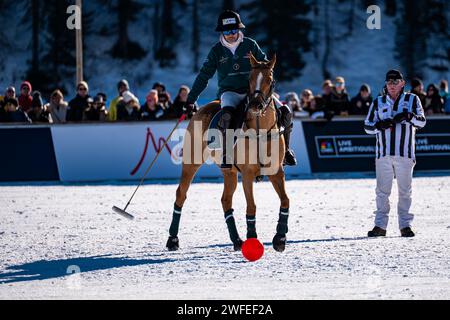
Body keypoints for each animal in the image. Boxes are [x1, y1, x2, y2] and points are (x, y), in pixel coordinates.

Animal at [167, 52, 290, 252]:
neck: (260, 129)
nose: (255, 105)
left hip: (229, 171)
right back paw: (172, 240)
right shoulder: (247, 173)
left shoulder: (276, 171)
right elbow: (251, 207)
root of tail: (201, 108)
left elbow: (285, 200)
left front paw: (280, 238)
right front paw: (253, 239)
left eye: (270, 80)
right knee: (181, 194)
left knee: (225, 200)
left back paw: (237, 240)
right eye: (250, 78)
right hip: (191, 162)